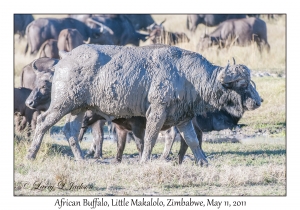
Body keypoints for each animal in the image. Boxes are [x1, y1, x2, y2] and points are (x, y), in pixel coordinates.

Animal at [26, 43, 262, 167]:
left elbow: (192, 140)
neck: (187, 76)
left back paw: (81, 159)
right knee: (43, 122)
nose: (258, 101)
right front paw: (145, 160)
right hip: (62, 104)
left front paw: (203, 161)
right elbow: (150, 138)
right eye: (242, 84)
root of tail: (63, 61)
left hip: (79, 108)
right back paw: (31, 154)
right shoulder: (157, 111)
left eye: (250, 81)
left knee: (70, 131)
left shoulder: (183, 117)